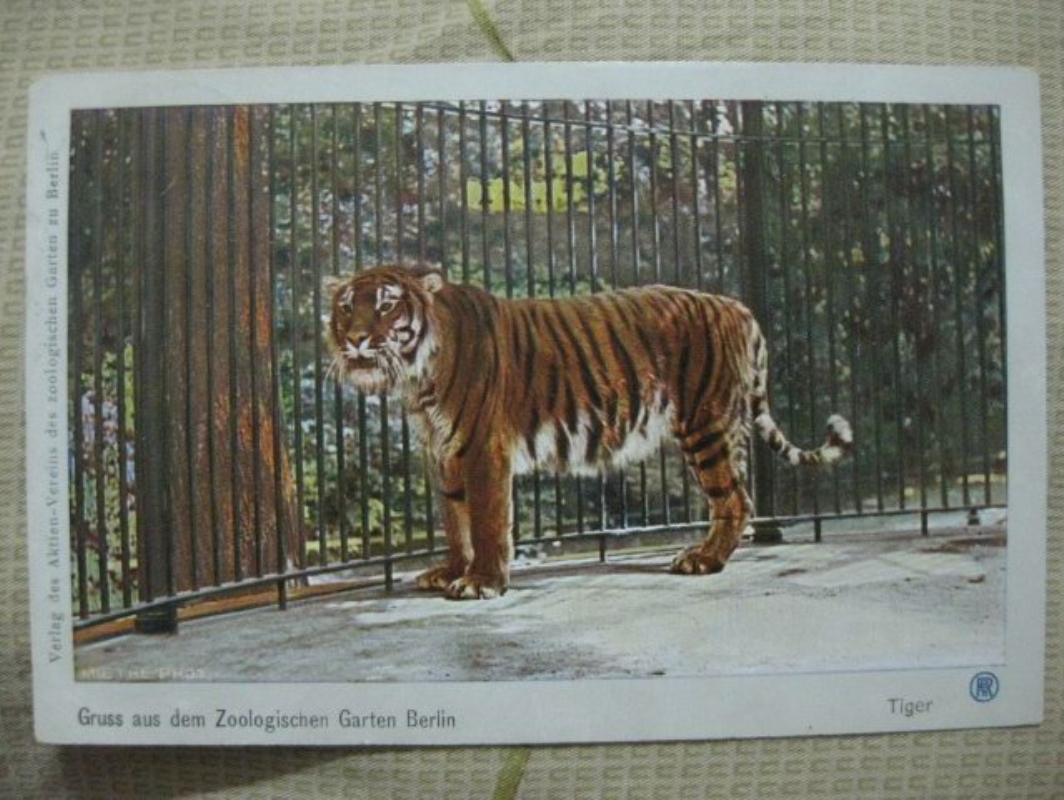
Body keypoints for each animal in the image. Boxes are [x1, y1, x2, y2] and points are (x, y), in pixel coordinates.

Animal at [327, 264, 852, 600]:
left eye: (386, 305)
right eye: (346, 307)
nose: (354, 339)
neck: (418, 378)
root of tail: (737, 307)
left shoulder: (482, 449)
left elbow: (488, 521)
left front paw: (482, 583)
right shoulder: (445, 454)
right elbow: (456, 522)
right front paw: (452, 572)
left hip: (706, 423)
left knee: (736, 499)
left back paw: (704, 559)